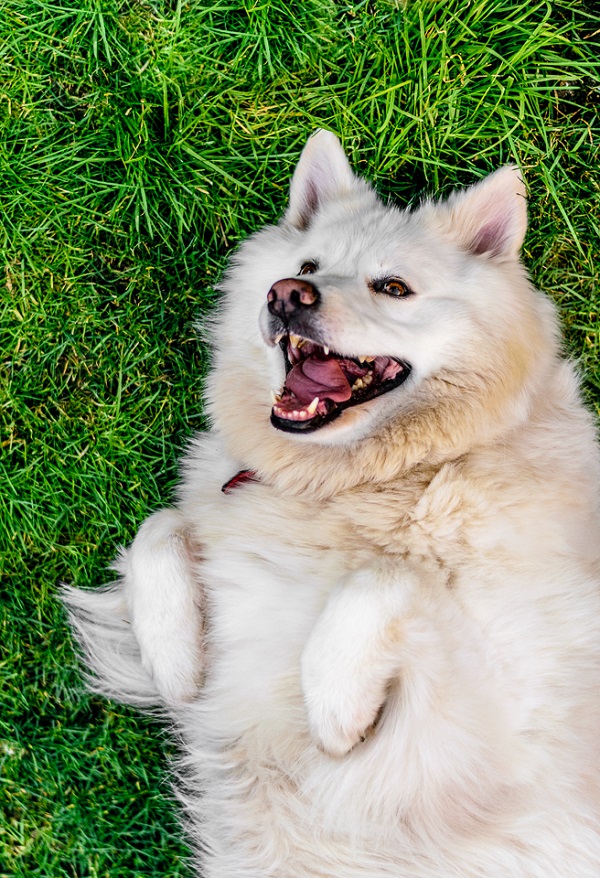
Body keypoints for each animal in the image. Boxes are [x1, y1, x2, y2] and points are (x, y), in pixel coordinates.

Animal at [63, 132, 600, 878]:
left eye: (393, 287)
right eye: (308, 266)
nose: (287, 294)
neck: (370, 480)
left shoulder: (486, 732)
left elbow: (384, 575)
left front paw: (334, 708)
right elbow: (160, 524)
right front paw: (175, 656)